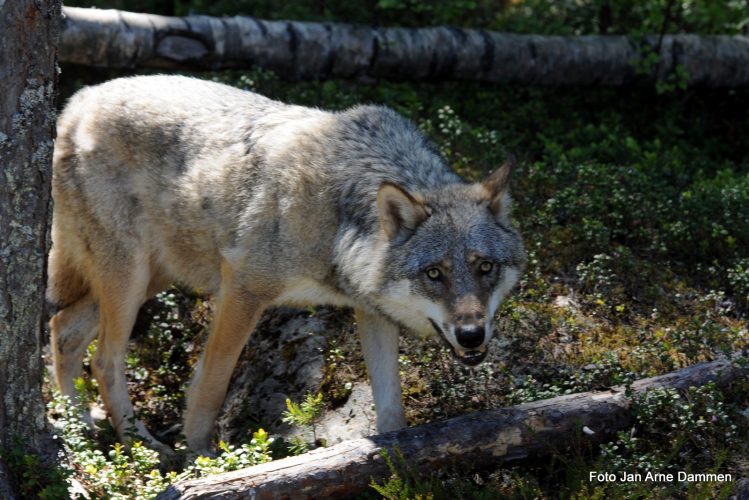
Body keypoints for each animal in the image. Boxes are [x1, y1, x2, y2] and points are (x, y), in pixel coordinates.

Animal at [48, 75, 524, 458]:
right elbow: (211, 385)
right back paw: (141, 447)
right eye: (434, 273)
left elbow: (392, 409)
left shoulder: (370, 310)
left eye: (484, 267)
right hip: (131, 279)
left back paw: (79, 431)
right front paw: (201, 459)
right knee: (103, 360)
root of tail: (78, 101)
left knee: (64, 331)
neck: (337, 221)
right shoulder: (243, 289)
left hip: (151, 277)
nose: (472, 335)